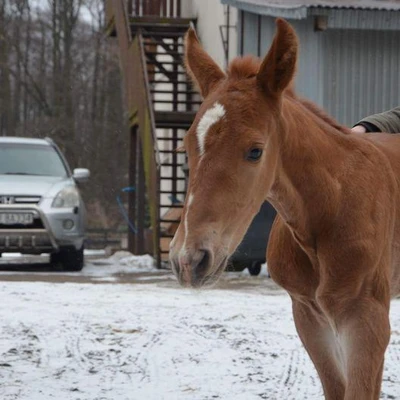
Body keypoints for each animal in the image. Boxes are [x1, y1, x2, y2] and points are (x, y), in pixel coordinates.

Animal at [170, 18, 400, 400]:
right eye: (186, 145)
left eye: (255, 151)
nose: (188, 259)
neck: (333, 206)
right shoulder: (308, 314)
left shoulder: (366, 320)